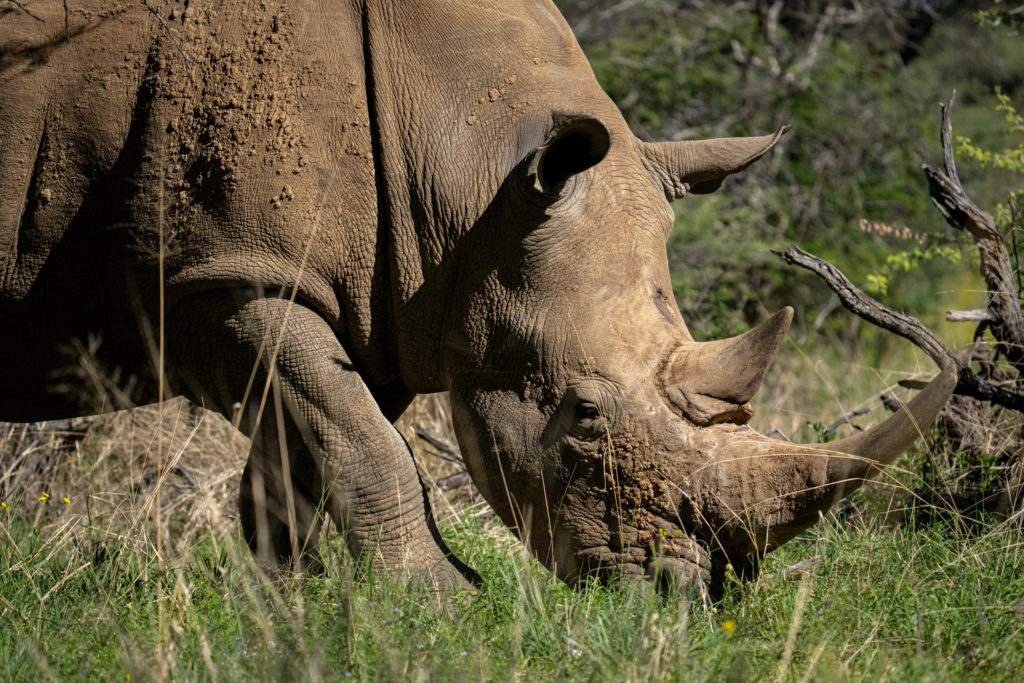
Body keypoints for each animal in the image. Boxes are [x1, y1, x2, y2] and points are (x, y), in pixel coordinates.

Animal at [1, 0, 953, 596]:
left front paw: (292, 607)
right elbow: (364, 441)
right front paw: (444, 601)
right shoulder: (215, 272)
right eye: (583, 413)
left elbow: (313, 445)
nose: (681, 595)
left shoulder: (370, 298)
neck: (468, 173)